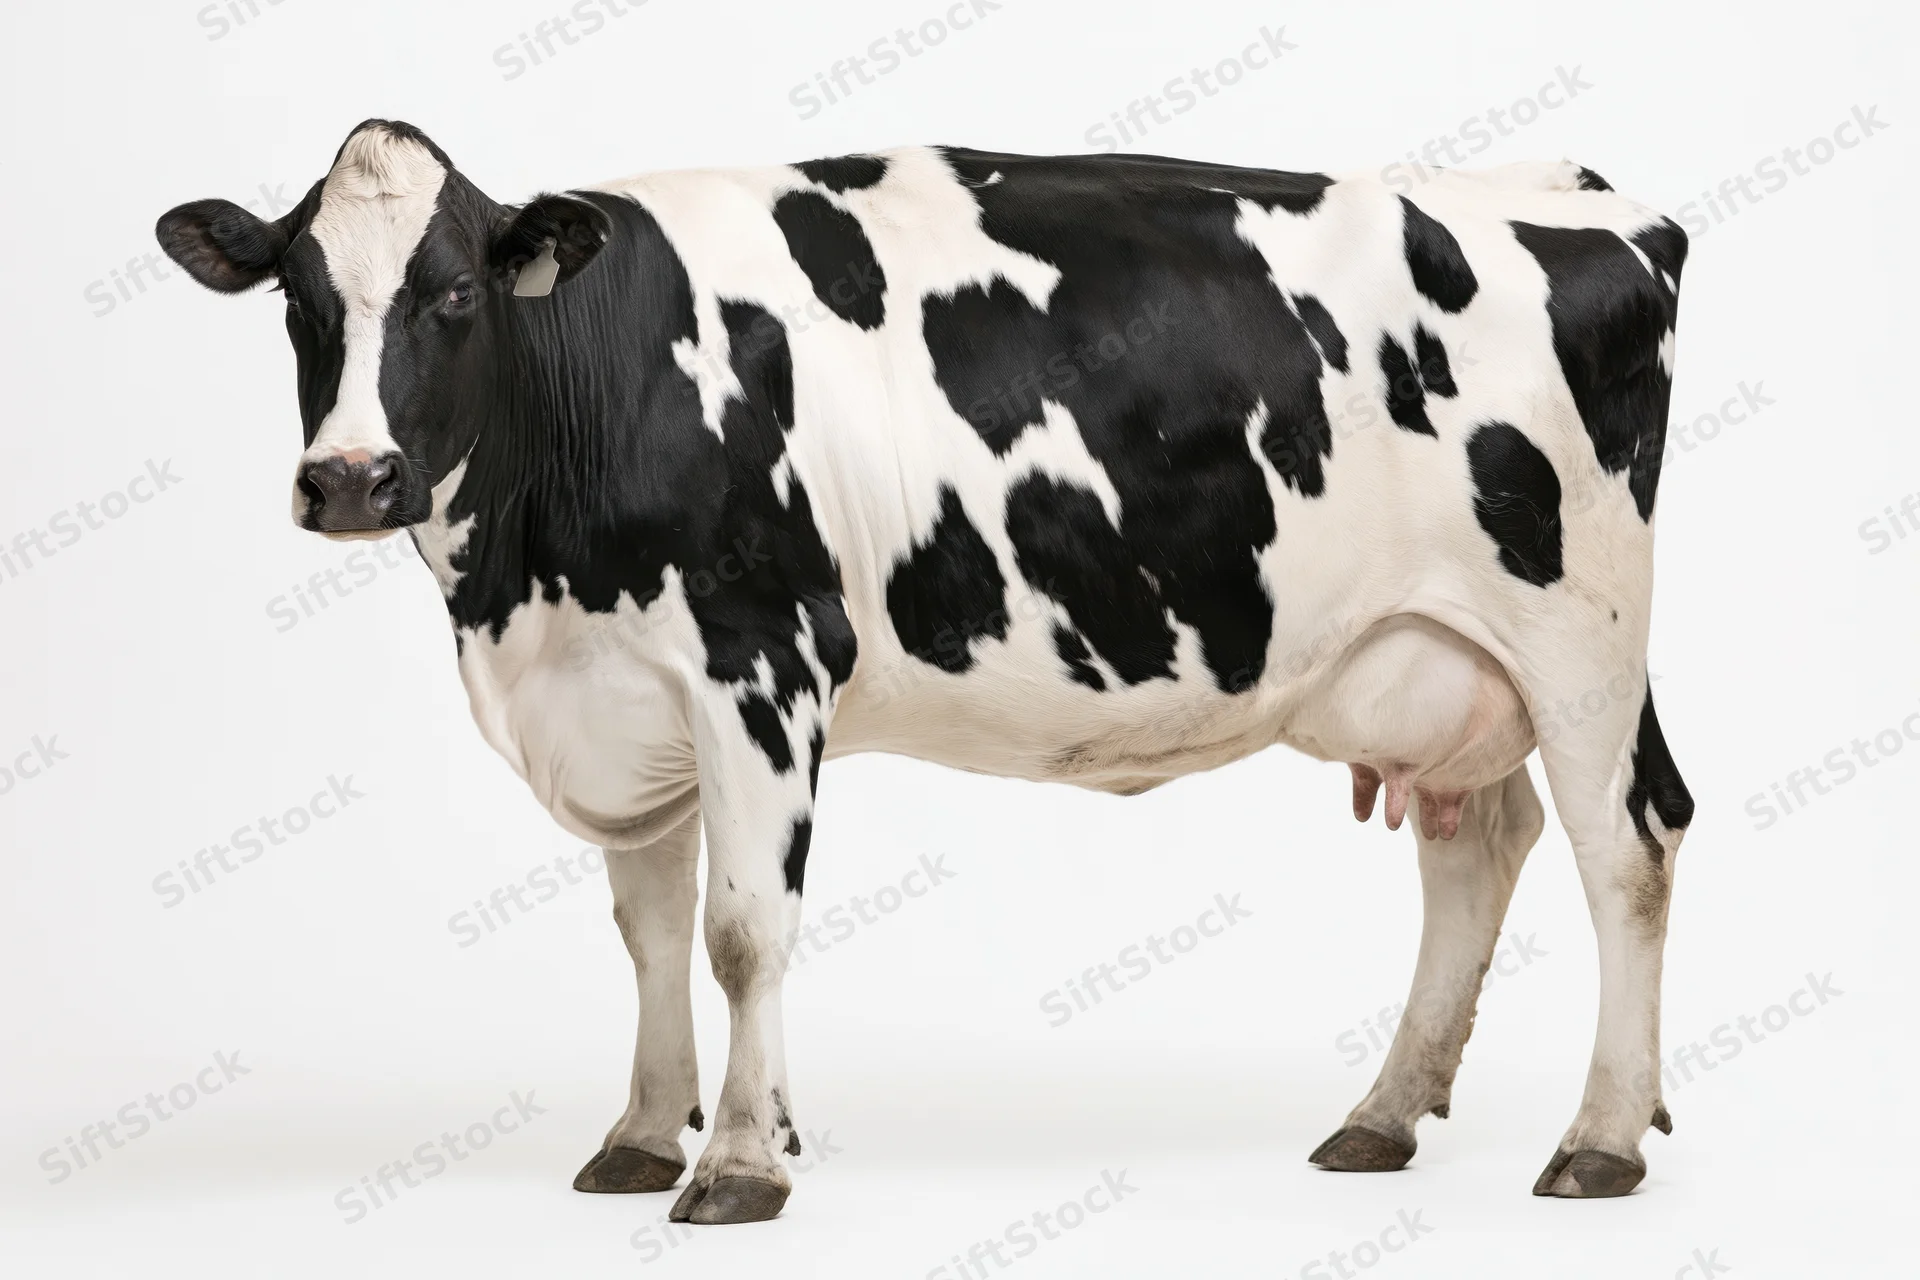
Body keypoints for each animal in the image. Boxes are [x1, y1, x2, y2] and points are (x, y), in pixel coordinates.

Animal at [155, 119, 1694, 1222]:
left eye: (458, 291)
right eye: (297, 297)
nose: (352, 478)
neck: (527, 581)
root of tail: (1591, 196)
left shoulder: (762, 665)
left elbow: (739, 931)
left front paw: (740, 1161)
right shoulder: (622, 695)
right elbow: (650, 934)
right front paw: (646, 1134)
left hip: (1581, 633)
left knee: (1628, 842)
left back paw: (1601, 1140)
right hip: (1431, 658)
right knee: (1476, 845)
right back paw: (1382, 1116)